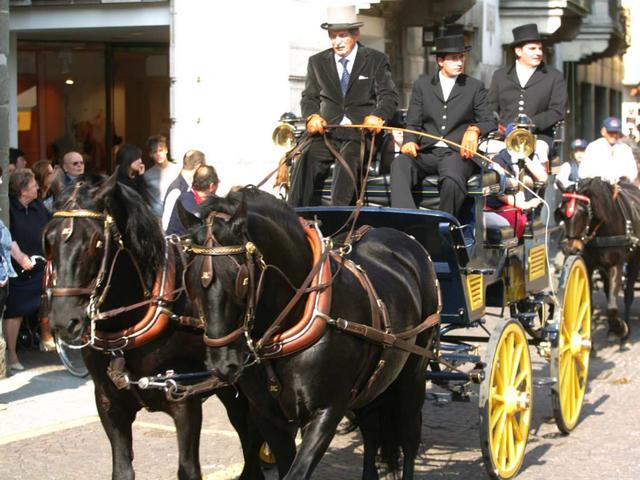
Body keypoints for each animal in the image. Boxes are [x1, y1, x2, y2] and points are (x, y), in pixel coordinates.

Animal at [44, 175, 264, 480]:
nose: (63, 320)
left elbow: (188, 469)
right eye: (49, 240)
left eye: (97, 243)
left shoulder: (184, 399)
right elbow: (122, 470)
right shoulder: (109, 403)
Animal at [179, 188, 440, 480]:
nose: (222, 364)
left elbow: (297, 472)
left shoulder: (326, 412)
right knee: (372, 429)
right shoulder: (269, 417)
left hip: (413, 374)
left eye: (241, 279)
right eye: (189, 279)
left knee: (409, 436)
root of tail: (404, 240)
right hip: (372, 382)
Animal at [556, 177, 640, 342]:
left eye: (584, 212)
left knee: (628, 294)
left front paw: (620, 329)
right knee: (608, 290)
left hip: (635, 260)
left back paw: (625, 327)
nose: (572, 249)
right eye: (561, 213)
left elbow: (612, 308)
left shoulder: (616, 264)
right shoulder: (589, 266)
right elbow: (589, 303)